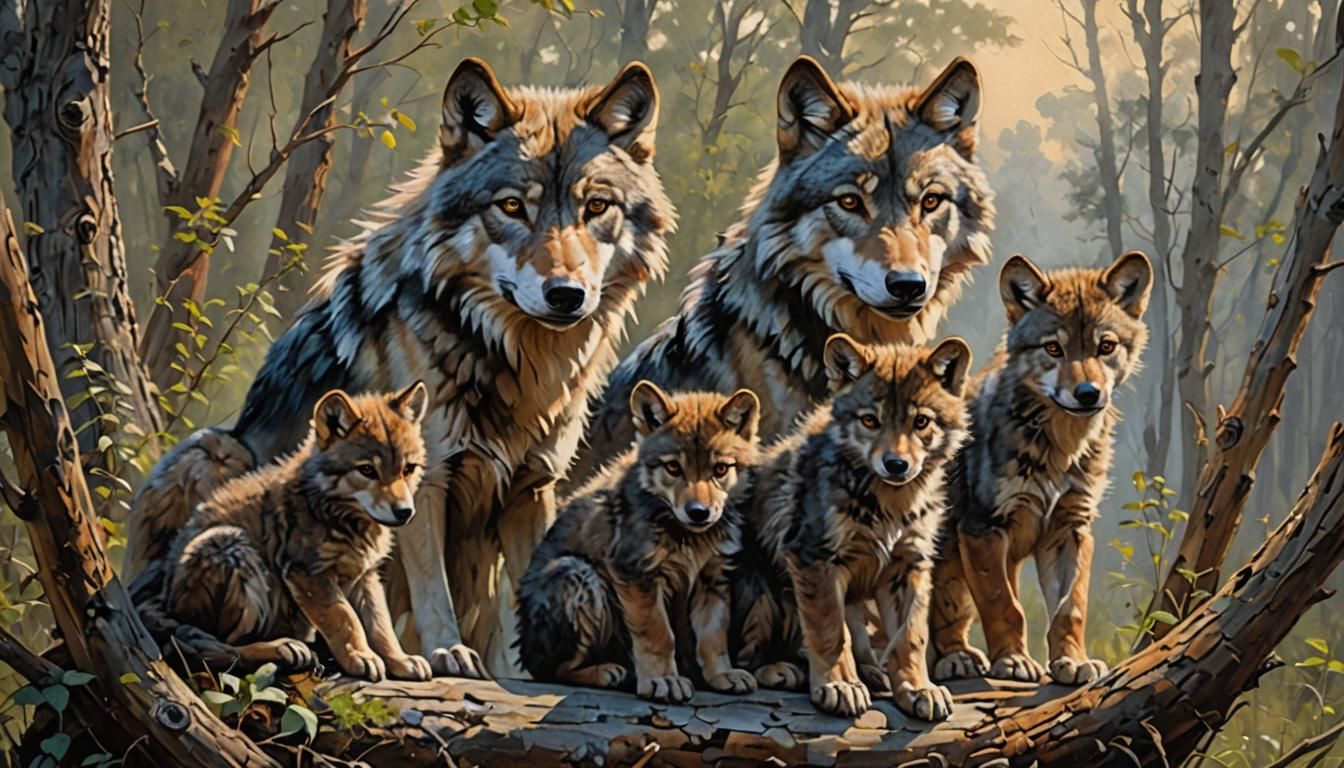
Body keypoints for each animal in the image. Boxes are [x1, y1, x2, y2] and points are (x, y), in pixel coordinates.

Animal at [136, 384, 432, 681]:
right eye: (367, 470)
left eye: (408, 469)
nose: (404, 512)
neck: (337, 513)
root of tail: (163, 599)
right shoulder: (308, 573)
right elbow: (345, 618)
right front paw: (359, 657)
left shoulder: (366, 575)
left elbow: (380, 625)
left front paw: (400, 660)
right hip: (230, 545)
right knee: (226, 648)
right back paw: (283, 649)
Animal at [517, 381, 760, 702]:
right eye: (673, 468)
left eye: (720, 470)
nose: (698, 512)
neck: (688, 537)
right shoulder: (637, 574)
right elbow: (659, 634)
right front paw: (663, 680)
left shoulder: (712, 579)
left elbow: (713, 635)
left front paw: (722, 675)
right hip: (577, 575)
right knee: (555, 670)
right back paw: (608, 672)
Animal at [730, 335, 972, 720]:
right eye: (870, 420)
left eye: (921, 421)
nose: (896, 464)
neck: (890, 504)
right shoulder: (815, 559)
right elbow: (830, 631)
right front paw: (839, 686)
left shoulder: (908, 566)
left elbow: (910, 637)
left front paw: (919, 689)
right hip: (759, 593)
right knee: (745, 658)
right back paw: (785, 670)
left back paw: (872, 673)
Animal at [929, 251, 1152, 686]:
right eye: (1053, 348)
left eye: (1105, 346)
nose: (1088, 394)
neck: (1059, 447)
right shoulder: (982, 527)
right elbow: (1004, 605)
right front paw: (1014, 662)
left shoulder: (1070, 528)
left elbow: (1070, 608)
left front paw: (1073, 662)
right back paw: (956, 660)